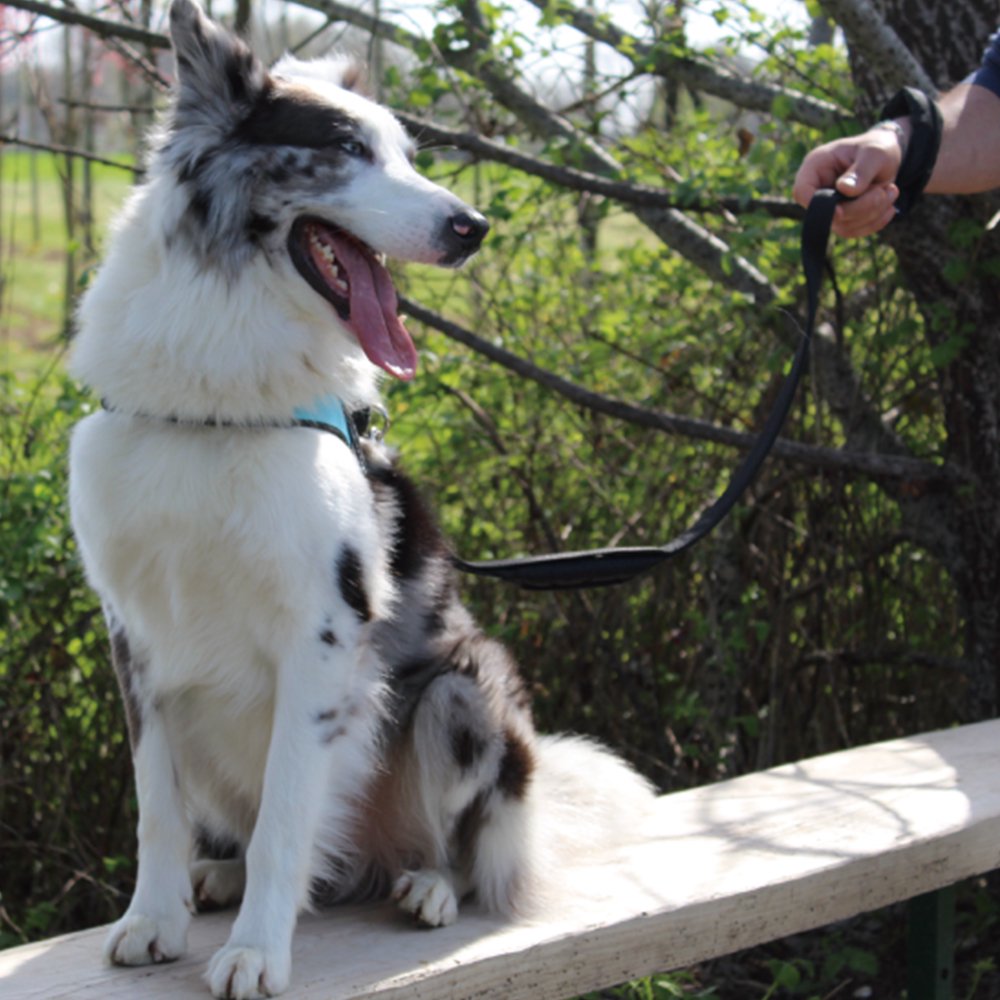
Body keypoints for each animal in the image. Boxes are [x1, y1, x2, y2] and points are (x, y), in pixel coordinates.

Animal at [64, 3, 656, 996]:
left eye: (409, 155)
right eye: (344, 150)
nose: (473, 225)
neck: (221, 397)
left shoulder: (323, 634)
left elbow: (285, 820)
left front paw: (257, 953)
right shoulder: (136, 638)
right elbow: (157, 807)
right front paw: (154, 920)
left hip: (464, 691)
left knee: (456, 851)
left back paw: (428, 886)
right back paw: (223, 875)